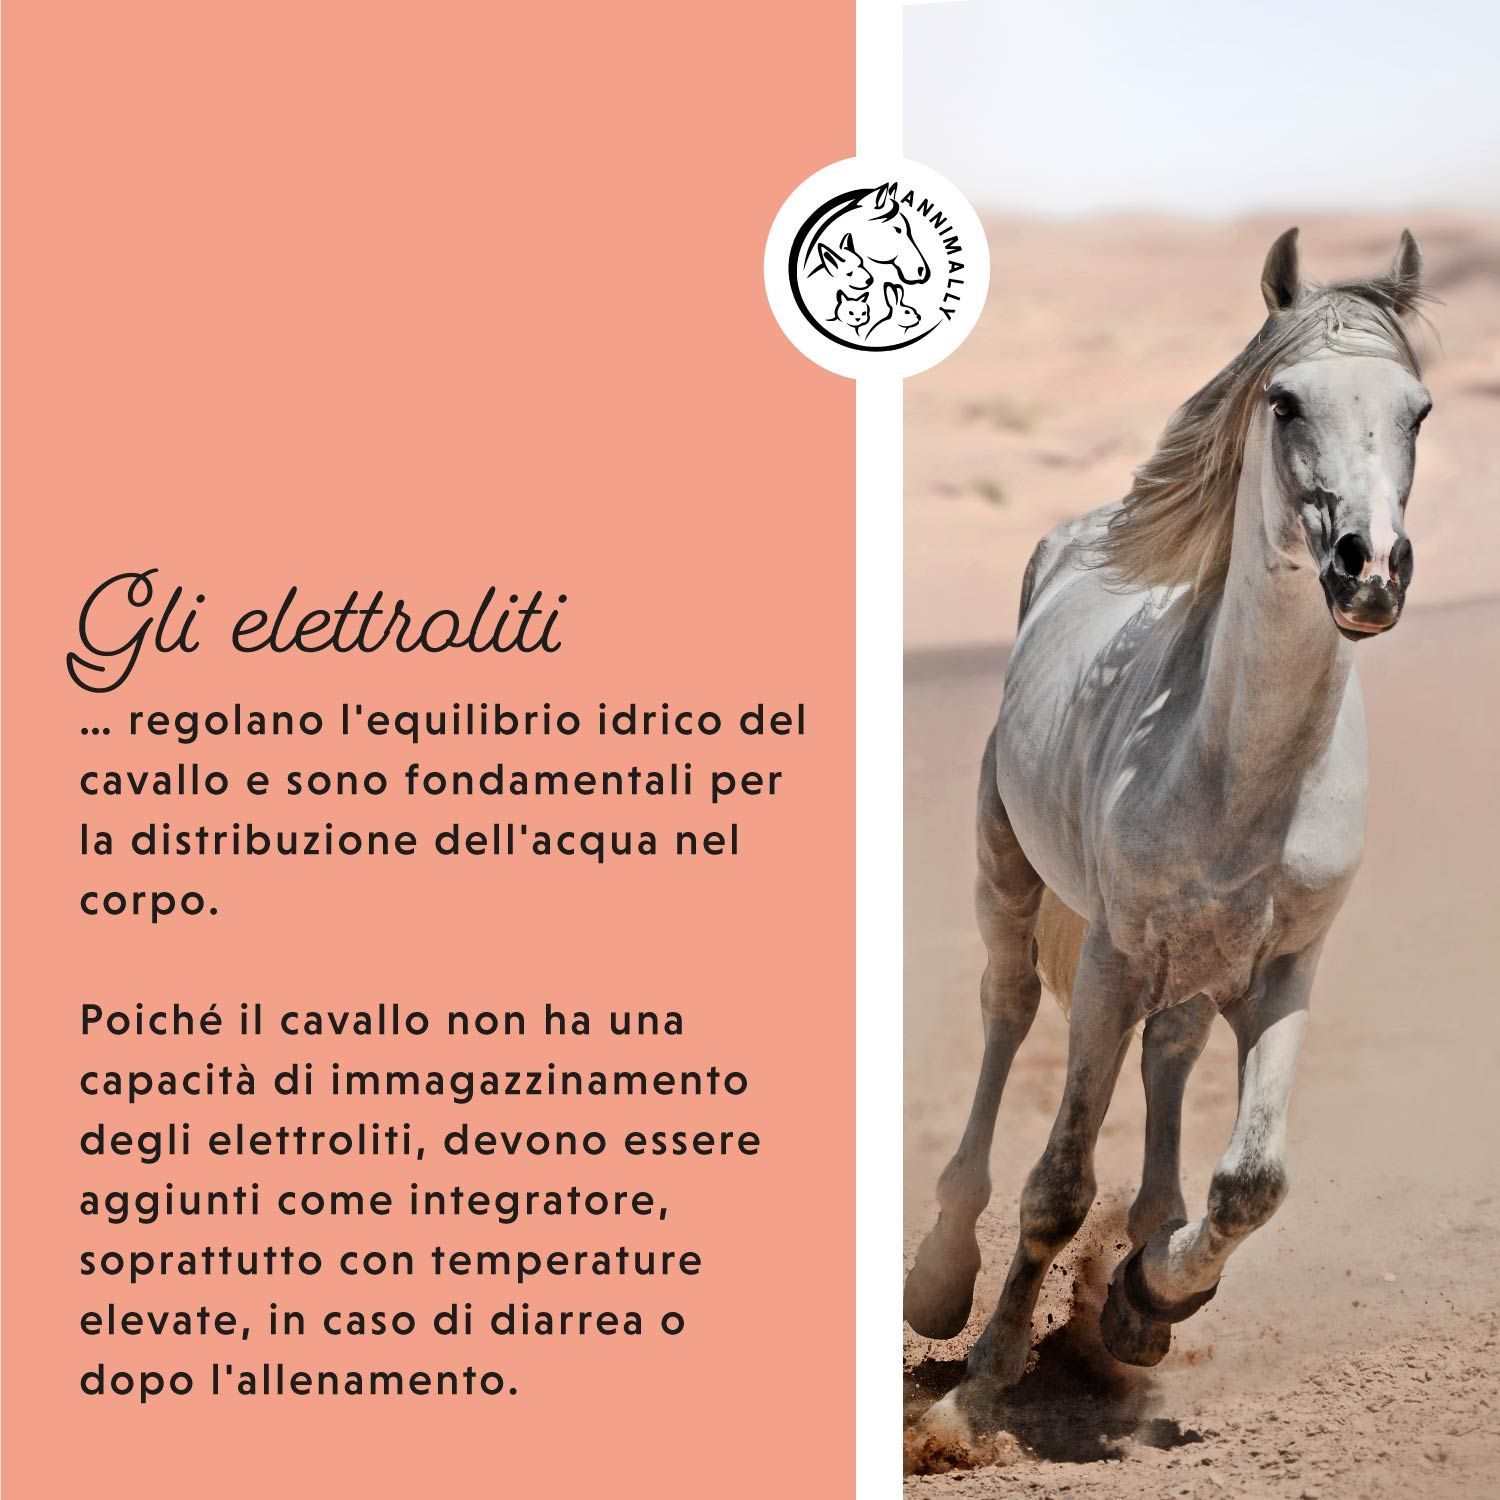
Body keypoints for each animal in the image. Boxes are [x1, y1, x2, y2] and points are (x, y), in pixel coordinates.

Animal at [905, 227, 1431, 1445]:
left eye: (1419, 410)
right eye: (1285, 400)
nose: (1367, 569)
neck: (1240, 769)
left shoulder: (1287, 966)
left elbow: (1253, 1182)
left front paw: (1149, 1298)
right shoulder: (1111, 957)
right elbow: (1057, 1184)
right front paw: (978, 1392)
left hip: (1198, 967)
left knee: (1172, 1055)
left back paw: (1147, 1257)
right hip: (1010, 880)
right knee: (1008, 1017)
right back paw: (940, 1280)